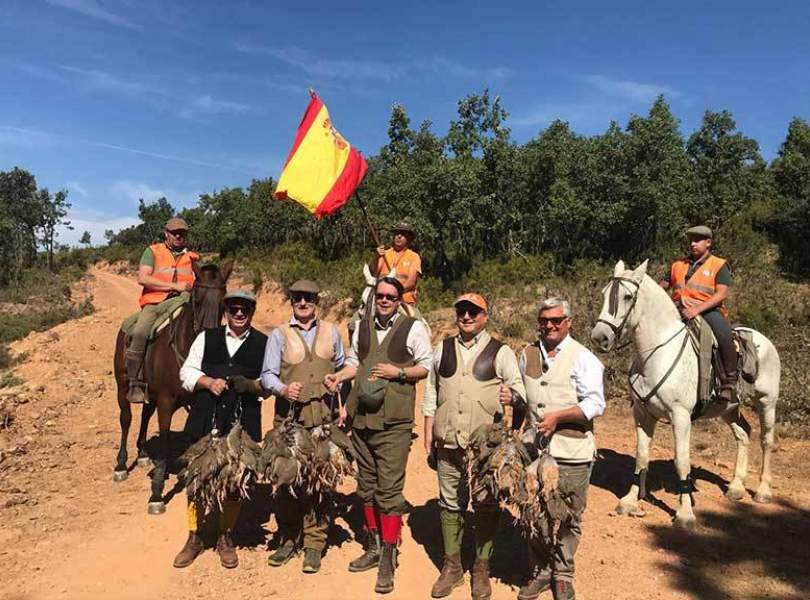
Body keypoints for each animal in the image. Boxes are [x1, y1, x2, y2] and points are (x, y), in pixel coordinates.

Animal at [111, 260, 230, 512]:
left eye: (224, 301)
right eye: (196, 298)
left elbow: (196, 438)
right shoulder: (166, 403)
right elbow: (165, 441)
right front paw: (156, 493)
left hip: (149, 392)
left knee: (145, 414)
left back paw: (143, 453)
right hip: (122, 386)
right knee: (126, 419)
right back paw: (121, 465)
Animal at [588, 260, 776, 528]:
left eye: (627, 296)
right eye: (605, 294)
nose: (599, 337)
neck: (656, 353)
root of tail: (763, 340)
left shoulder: (680, 416)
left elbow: (682, 461)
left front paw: (685, 513)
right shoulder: (642, 414)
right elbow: (641, 456)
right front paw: (629, 501)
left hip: (767, 402)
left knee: (766, 441)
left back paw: (762, 491)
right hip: (729, 408)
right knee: (743, 434)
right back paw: (736, 487)